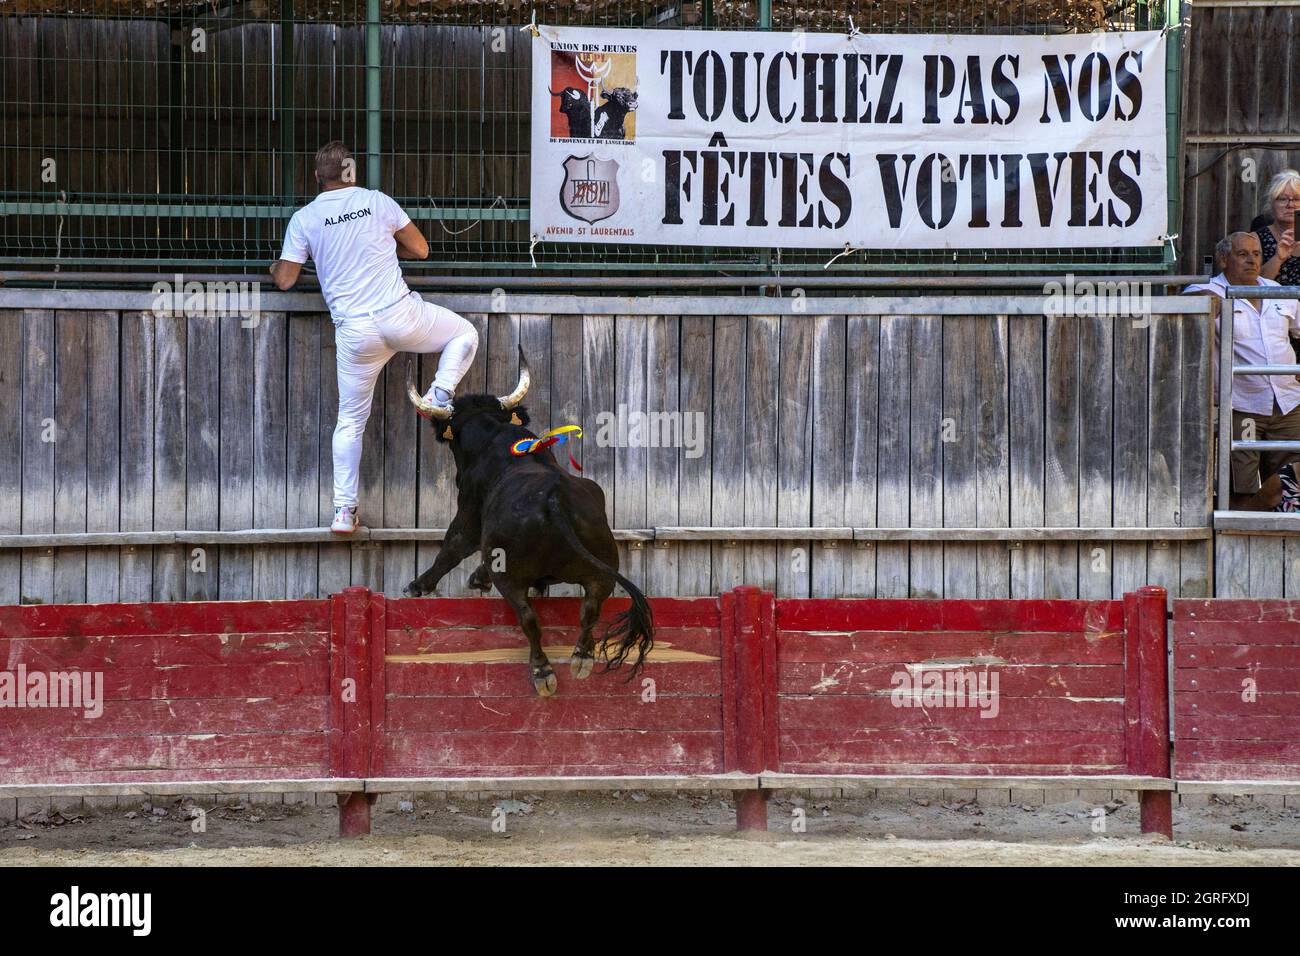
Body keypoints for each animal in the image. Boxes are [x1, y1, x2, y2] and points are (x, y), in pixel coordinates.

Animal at [403, 351, 655, 697]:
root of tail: (554, 499)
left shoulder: (468, 511)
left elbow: (454, 547)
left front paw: (419, 585)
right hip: (603, 568)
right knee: (591, 608)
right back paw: (581, 657)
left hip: (511, 577)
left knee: (528, 618)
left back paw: (542, 671)